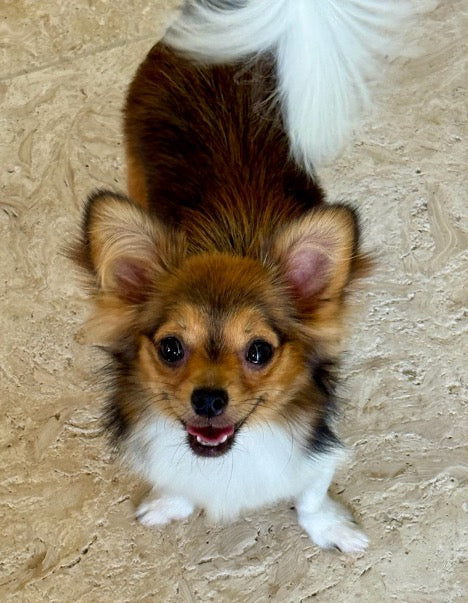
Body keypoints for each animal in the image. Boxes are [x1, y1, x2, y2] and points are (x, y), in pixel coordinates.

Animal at [73, 0, 405, 552]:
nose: (209, 399)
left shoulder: (312, 455)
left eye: (259, 352)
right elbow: (176, 482)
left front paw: (332, 530)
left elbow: (311, 497)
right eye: (170, 348)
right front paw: (169, 504)